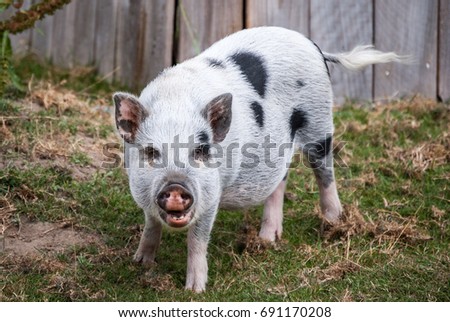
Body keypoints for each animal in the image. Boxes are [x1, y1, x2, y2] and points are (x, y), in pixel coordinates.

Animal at [112, 26, 404, 292]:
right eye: (151, 151)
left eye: (201, 150)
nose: (175, 187)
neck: (175, 104)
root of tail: (312, 45)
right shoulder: (143, 192)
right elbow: (151, 224)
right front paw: (140, 262)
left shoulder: (212, 194)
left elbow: (197, 239)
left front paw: (195, 290)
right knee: (280, 180)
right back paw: (268, 239)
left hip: (319, 120)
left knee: (325, 171)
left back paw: (333, 223)